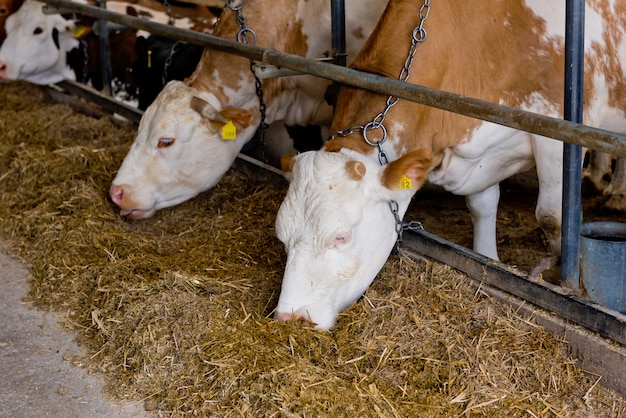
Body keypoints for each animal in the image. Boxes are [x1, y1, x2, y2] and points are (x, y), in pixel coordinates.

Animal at [272, 0, 624, 330]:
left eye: (342, 236)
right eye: (282, 236)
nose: (291, 316)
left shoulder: (559, 130)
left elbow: (552, 217)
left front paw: (555, 276)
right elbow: (483, 206)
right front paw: (489, 257)